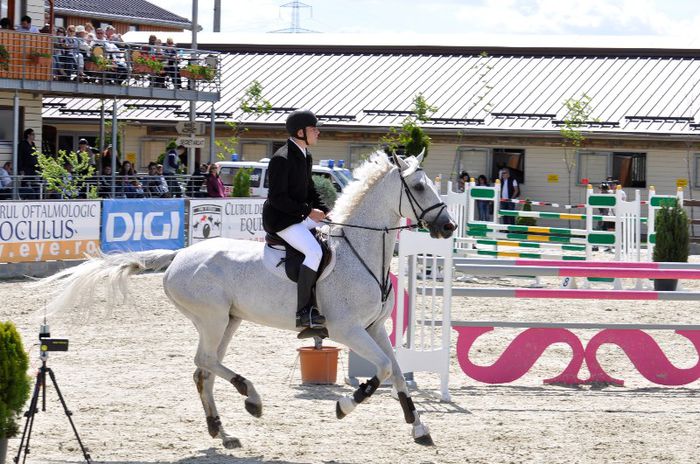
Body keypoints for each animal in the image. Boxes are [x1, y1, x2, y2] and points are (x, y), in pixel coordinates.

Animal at [39, 152, 454, 450]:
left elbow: (396, 370)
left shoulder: (374, 327)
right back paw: (250, 397)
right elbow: (382, 369)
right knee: (205, 362)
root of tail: (179, 256)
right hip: (213, 319)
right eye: (419, 187)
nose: (448, 227)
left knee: (203, 370)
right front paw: (344, 405)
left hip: (228, 320)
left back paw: (222, 432)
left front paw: (419, 428)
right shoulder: (346, 329)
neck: (360, 250)